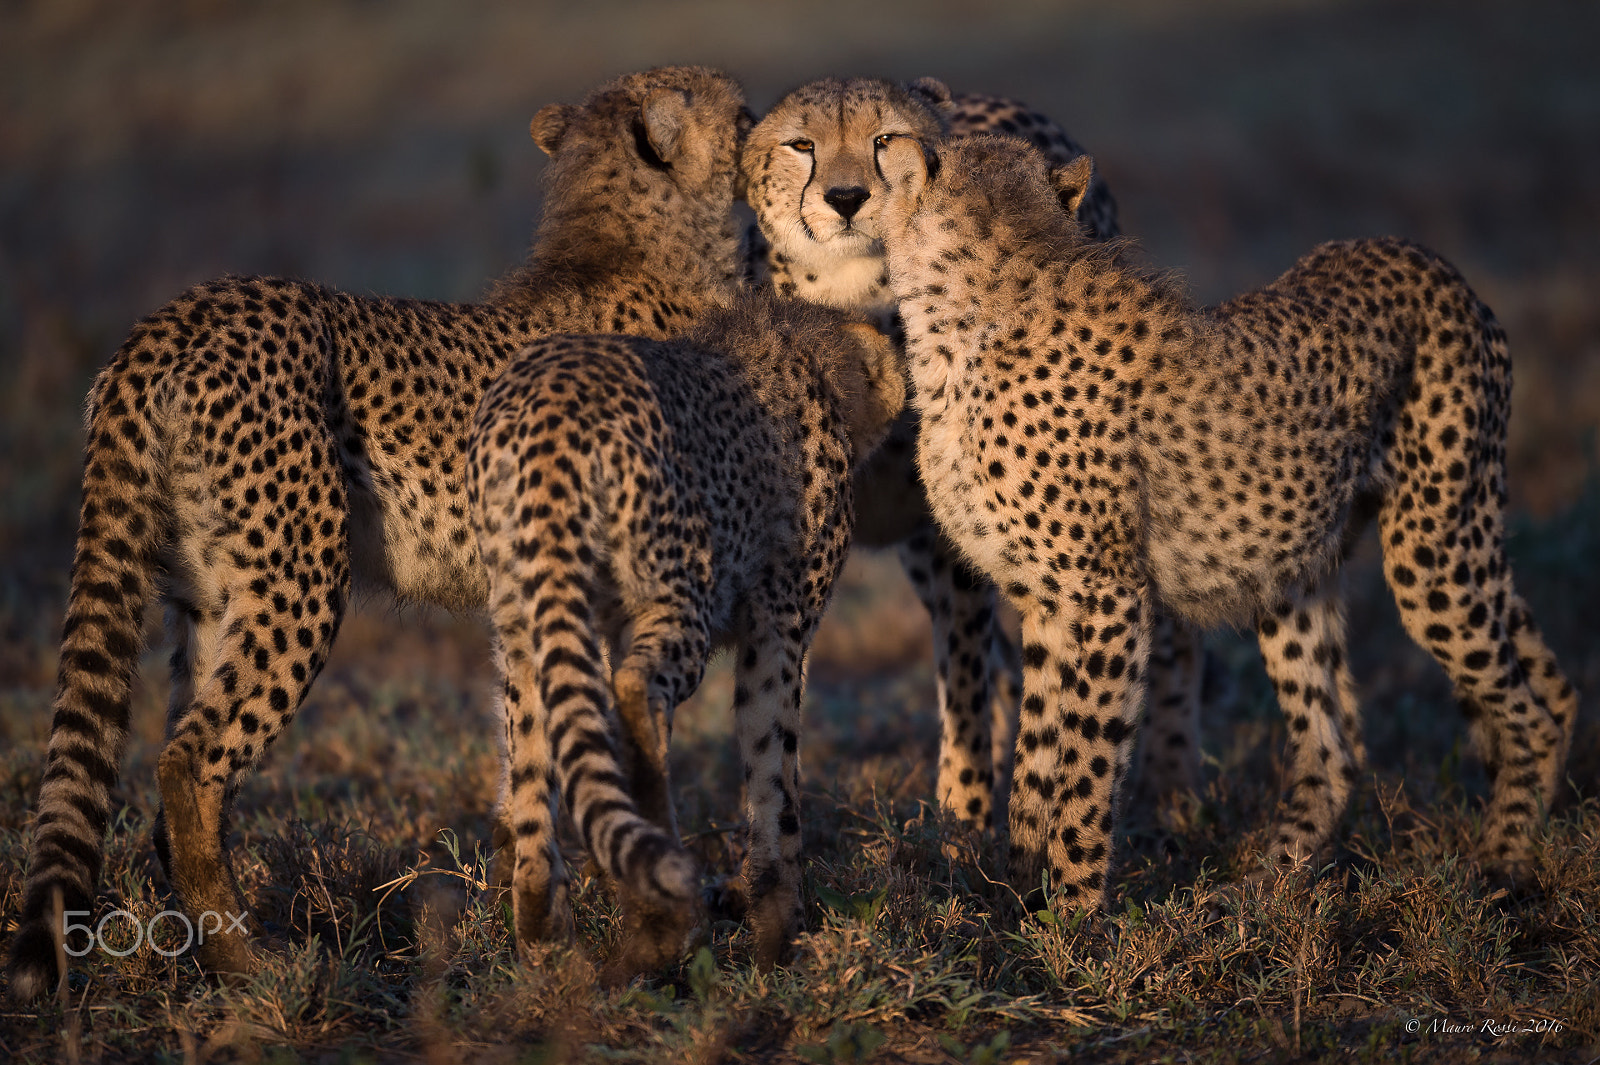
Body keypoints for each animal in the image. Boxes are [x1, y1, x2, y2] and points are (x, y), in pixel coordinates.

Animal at [6, 64, 755, 997]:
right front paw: (638, 926)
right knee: (191, 761)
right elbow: (621, 750)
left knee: (175, 756)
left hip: (208, 595)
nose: (764, 124)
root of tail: (172, 317)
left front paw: (536, 934)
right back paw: (247, 961)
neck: (634, 247)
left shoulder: (532, 599)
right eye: (743, 118)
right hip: (298, 578)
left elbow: (529, 753)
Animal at [467, 287, 908, 972]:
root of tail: (550, 404)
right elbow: (774, 769)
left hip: (526, 618)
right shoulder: (779, 628)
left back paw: (544, 929)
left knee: (535, 752)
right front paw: (779, 926)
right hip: (676, 592)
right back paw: (662, 908)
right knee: (634, 689)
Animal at [736, 78, 1203, 831]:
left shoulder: (955, 533)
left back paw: (1173, 784)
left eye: (885, 139)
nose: (846, 197)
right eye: (800, 145)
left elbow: (961, 673)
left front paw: (965, 815)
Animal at [870, 132, 1568, 914]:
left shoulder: (1106, 596)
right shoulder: (1046, 603)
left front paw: (1072, 916)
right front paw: (1017, 894)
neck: (966, 322)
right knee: (1342, 746)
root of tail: (1421, 255)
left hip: (1434, 554)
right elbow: (1035, 759)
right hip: (1299, 568)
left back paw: (1502, 864)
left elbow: (1084, 765)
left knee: (1530, 713)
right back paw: (1261, 890)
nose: (882, 142)